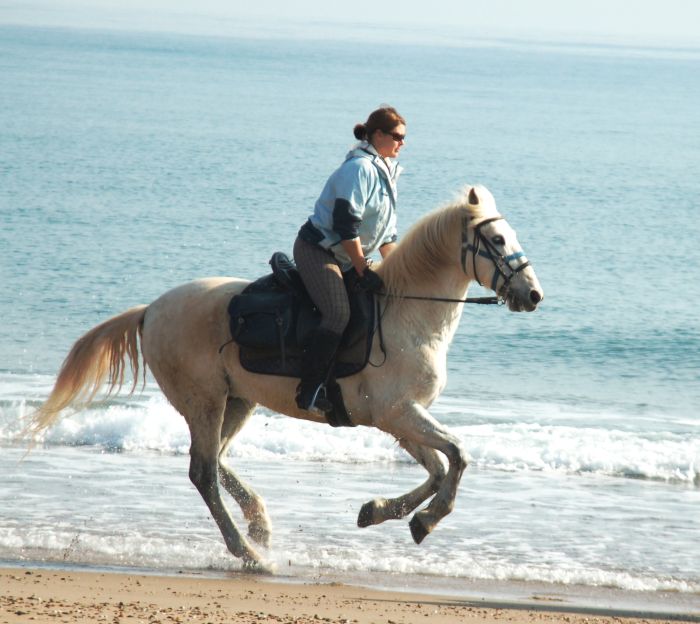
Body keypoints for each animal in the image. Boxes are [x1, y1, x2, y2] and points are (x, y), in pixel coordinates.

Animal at [28, 184, 540, 572]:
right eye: (496, 241)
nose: (533, 294)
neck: (408, 313)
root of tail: (151, 310)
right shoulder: (399, 413)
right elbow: (458, 456)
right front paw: (425, 520)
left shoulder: (398, 419)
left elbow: (438, 467)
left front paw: (380, 513)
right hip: (204, 400)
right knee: (203, 471)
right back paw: (250, 553)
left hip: (236, 401)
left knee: (215, 459)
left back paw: (259, 524)